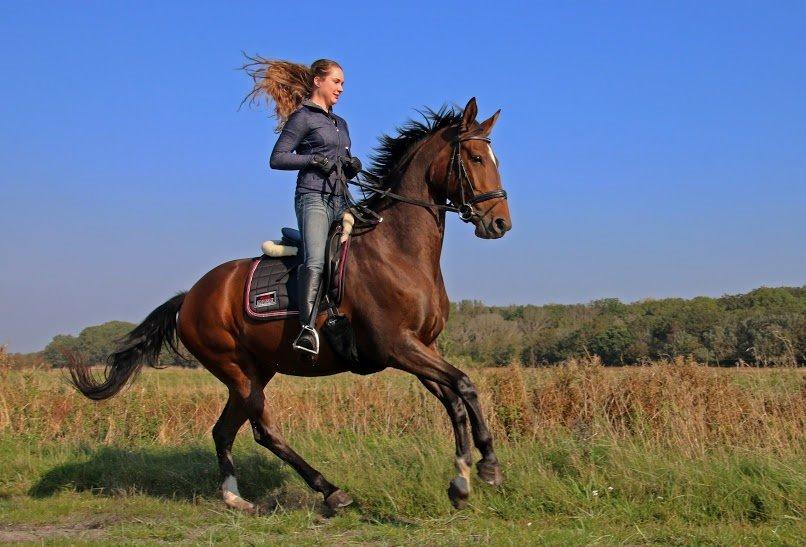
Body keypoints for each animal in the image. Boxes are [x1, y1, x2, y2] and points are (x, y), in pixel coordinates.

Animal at [69, 97, 512, 512]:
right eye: (475, 158)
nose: (500, 223)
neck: (398, 251)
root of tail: (189, 297)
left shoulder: (422, 346)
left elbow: (455, 399)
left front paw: (461, 480)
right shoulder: (396, 346)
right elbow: (464, 385)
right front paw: (487, 465)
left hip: (256, 371)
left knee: (223, 430)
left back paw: (235, 498)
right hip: (238, 371)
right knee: (263, 431)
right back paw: (330, 491)